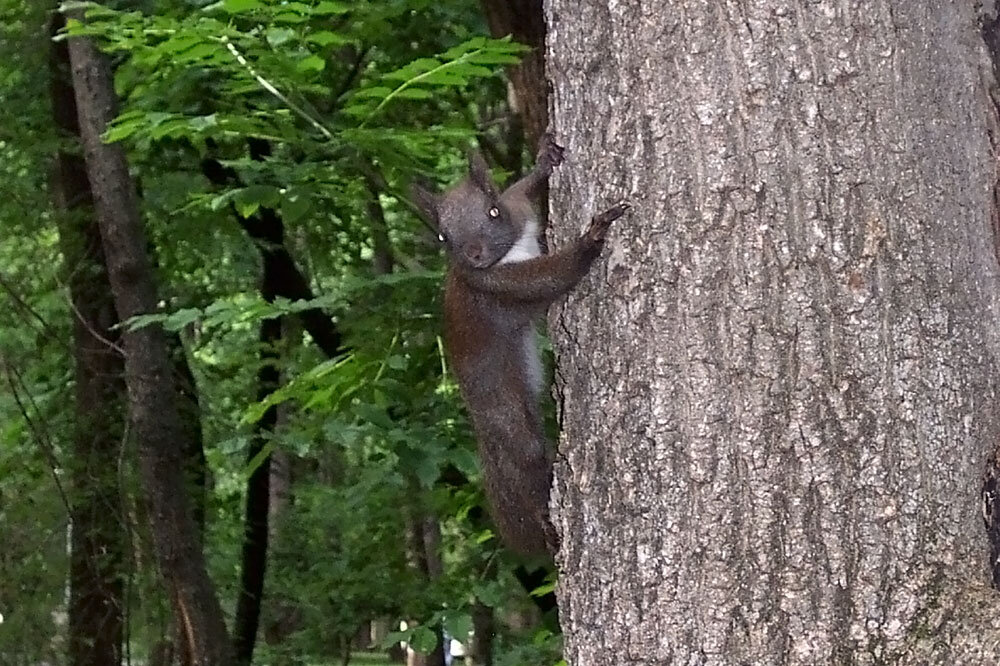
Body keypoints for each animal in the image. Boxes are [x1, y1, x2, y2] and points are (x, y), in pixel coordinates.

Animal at [410, 136, 628, 556]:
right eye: (443, 236)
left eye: (492, 211)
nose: (474, 254)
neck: (509, 251)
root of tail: (482, 427)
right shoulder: (500, 289)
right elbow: (555, 275)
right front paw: (592, 237)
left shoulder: (520, 210)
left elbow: (520, 190)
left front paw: (544, 162)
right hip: (509, 416)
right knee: (527, 461)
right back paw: (546, 520)